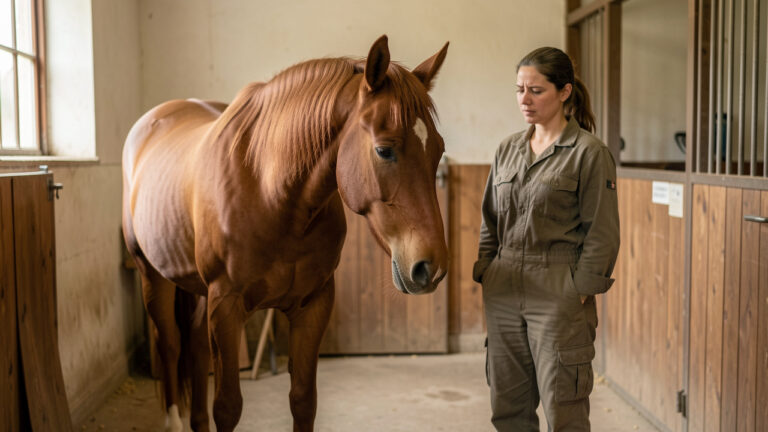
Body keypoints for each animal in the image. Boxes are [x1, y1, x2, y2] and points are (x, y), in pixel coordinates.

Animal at [121, 35, 449, 432]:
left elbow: (303, 401)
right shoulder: (225, 305)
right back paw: (174, 420)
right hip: (152, 275)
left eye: (439, 150)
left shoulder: (312, 304)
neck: (270, 192)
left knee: (195, 345)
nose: (431, 267)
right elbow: (227, 406)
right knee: (169, 344)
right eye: (384, 150)